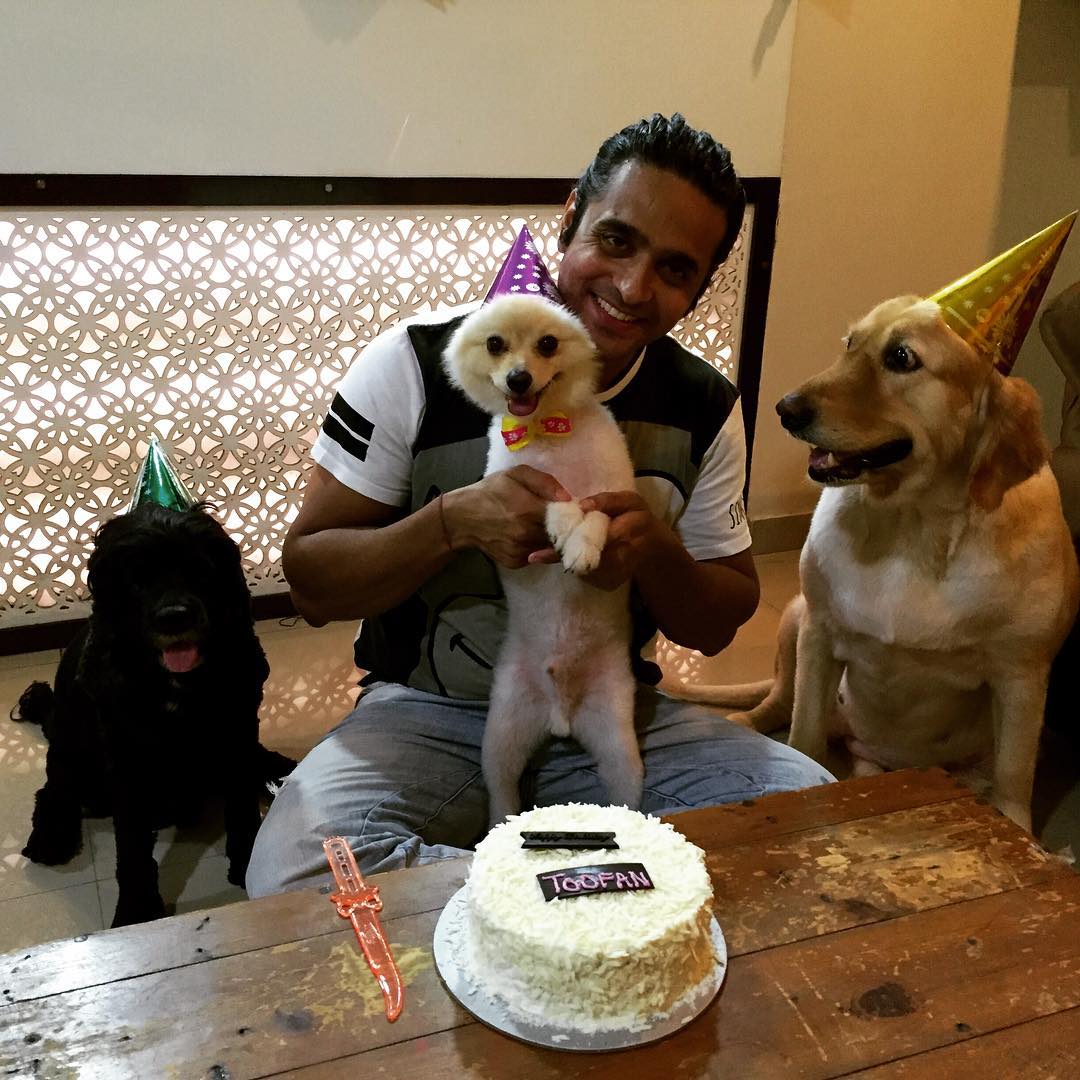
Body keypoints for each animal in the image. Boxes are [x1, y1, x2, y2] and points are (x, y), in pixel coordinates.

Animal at [18, 502, 295, 926]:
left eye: (201, 570)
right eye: (136, 581)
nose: (174, 616)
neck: (173, 685)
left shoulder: (237, 728)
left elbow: (241, 805)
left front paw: (247, 862)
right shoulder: (125, 758)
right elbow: (132, 847)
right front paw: (136, 908)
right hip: (69, 742)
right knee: (54, 787)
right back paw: (52, 836)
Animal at [444, 293, 642, 825]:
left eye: (548, 344)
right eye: (495, 344)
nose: (518, 378)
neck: (548, 431)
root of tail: (561, 716)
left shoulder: (614, 499)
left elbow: (595, 516)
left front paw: (582, 546)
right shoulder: (519, 491)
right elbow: (556, 502)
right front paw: (563, 524)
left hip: (620, 749)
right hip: (503, 733)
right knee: (502, 793)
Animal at [663, 296, 1079, 831]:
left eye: (901, 358)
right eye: (850, 343)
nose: (785, 409)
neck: (912, 526)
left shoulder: (1023, 675)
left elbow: (1012, 778)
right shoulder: (820, 634)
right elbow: (804, 735)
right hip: (795, 618)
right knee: (778, 700)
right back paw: (747, 724)